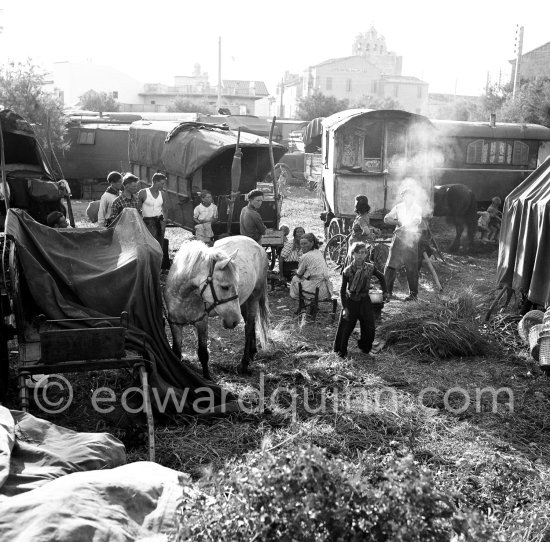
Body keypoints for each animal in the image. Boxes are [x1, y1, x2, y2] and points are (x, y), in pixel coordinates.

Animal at [166, 238, 272, 378]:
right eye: (225, 287)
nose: (234, 321)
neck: (183, 296)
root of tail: (257, 245)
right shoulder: (175, 324)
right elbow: (177, 352)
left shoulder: (202, 323)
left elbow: (203, 354)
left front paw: (207, 378)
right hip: (244, 303)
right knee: (251, 324)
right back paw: (252, 353)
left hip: (253, 298)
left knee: (249, 327)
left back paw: (244, 364)